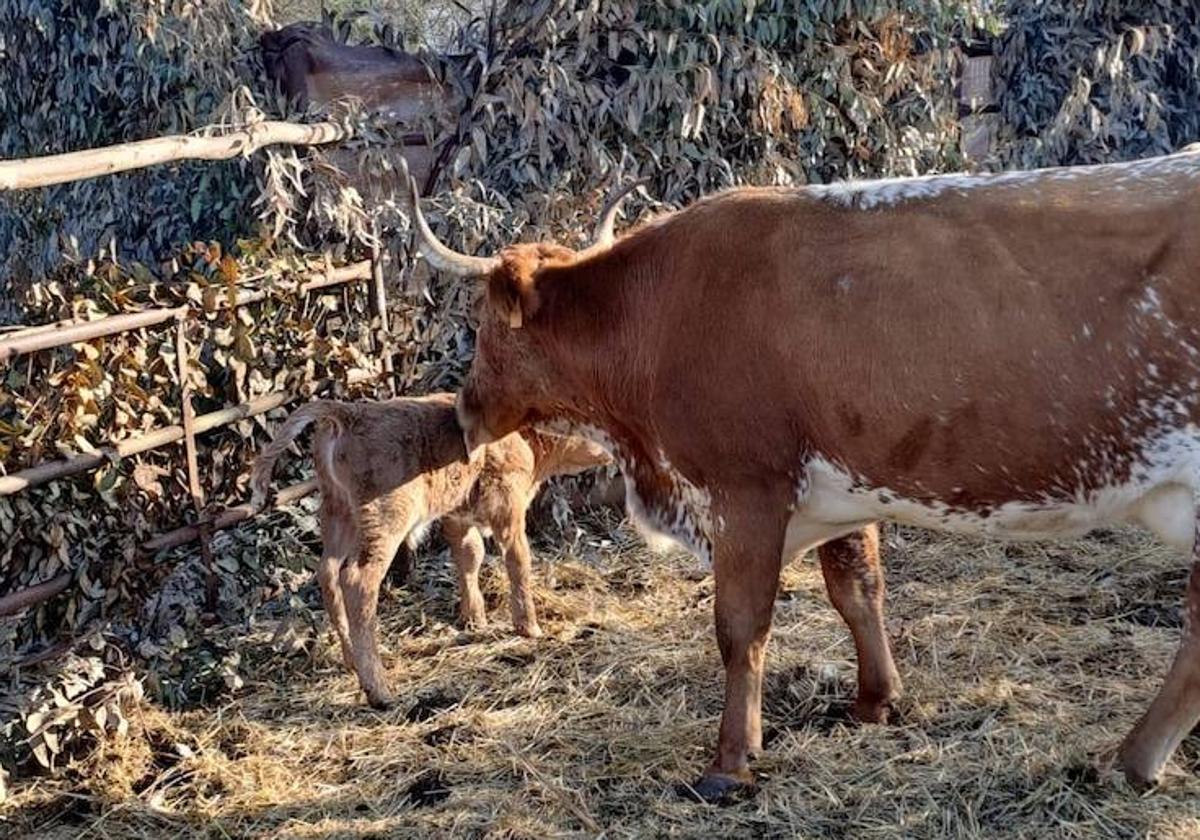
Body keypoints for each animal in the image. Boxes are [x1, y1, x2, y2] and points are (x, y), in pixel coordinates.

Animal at [250, 393, 609, 710]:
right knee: (357, 581)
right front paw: (528, 627)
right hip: (385, 520)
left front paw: (474, 618)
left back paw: (352, 659)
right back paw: (379, 690)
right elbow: (517, 561)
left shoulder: (458, 515)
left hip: (339, 514)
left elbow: (470, 556)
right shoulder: (508, 508)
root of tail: (351, 413)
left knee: (327, 573)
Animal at [398, 149, 1200, 801]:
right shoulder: (842, 489)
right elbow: (856, 589)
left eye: (484, 324)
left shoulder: (745, 491)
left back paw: (1132, 759)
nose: (463, 411)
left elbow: (741, 626)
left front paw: (730, 762)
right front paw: (876, 701)